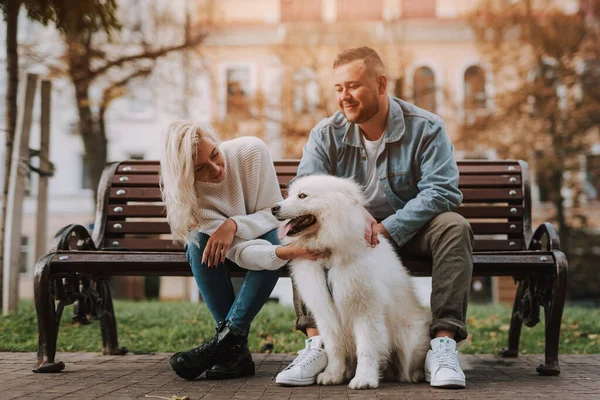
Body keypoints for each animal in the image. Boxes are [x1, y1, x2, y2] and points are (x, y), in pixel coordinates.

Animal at [272, 177, 432, 390]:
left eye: (302, 196)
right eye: (289, 195)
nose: (273, 208)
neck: (328, 257)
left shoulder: (366, 309)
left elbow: (366, 348)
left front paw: (364, 379)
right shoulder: (325, 312)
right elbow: (334, 348)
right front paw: (333, 375)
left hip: (411, 339)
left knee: (411, 362)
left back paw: (414, 375)